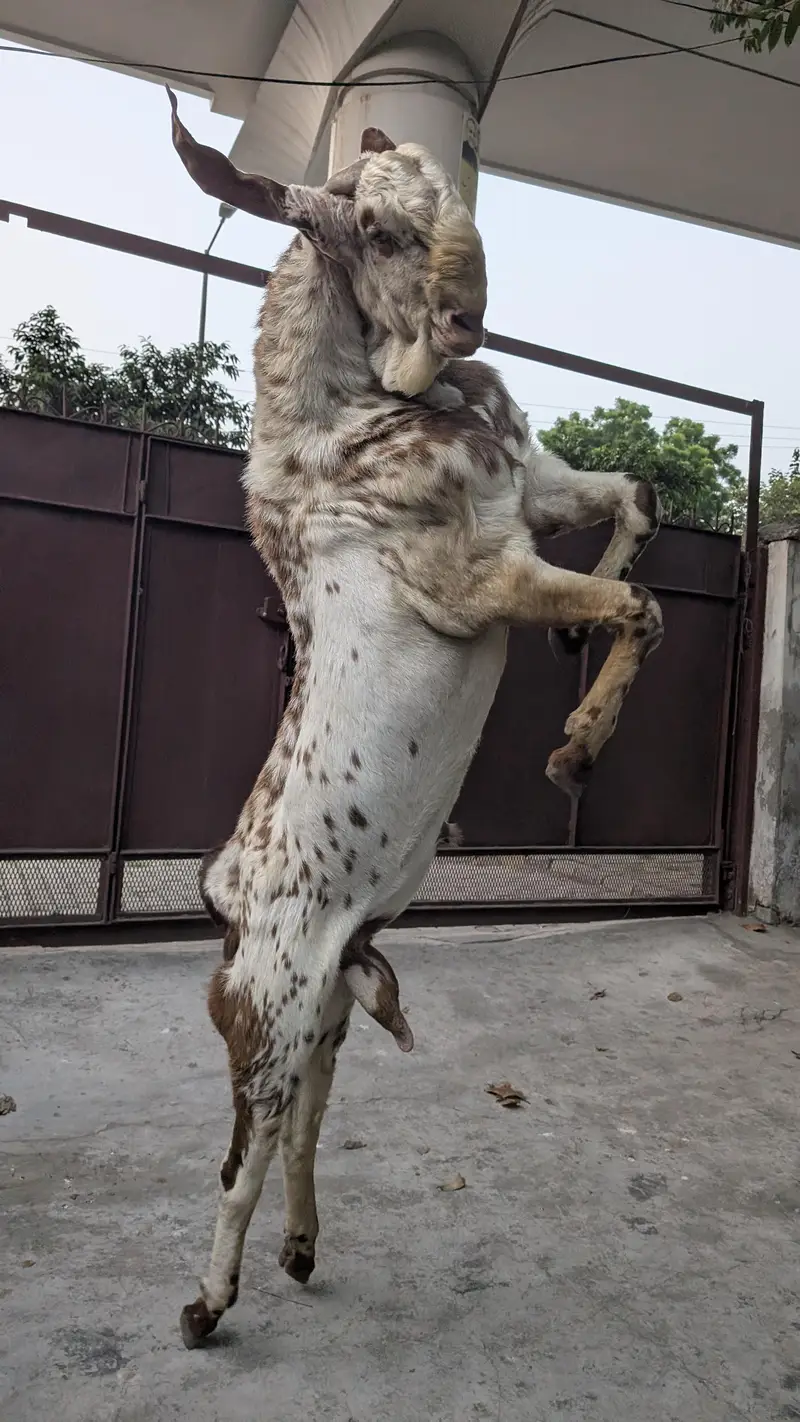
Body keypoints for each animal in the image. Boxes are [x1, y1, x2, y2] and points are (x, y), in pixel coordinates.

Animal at [167, 89, 663, 1348]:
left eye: (444, 195)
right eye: (377, 231)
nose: (467, 317)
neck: (350, 422)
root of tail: (226, 915)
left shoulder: (533, 491)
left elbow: (634, 500)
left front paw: (577, 668)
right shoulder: (473, 576)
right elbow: (636, 607)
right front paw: (572, 754)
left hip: (330, 1008)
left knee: (305, 1119)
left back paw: (300, 1251)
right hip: (276, 1007)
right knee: (242, 1151)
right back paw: (205, 1301)